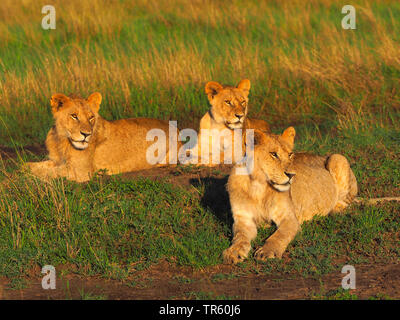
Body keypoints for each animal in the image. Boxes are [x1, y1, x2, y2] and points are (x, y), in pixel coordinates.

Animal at [26, 92, 178, 182]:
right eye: (74, 116)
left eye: (91, 117)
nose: (86, 134)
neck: (61, 140)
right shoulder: (56, 161)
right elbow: (32, 165)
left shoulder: (80, 172)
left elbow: (48, 172)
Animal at [223, 127, 358, 264]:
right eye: (273, 154)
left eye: (290, 154)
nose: (292, 174)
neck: (259, 186)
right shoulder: (243, 219)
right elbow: (240, 236)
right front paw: (234, 252)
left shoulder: (289, 218)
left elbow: (279, 235)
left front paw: (267, 251)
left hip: (337, 157)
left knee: (346, 202)